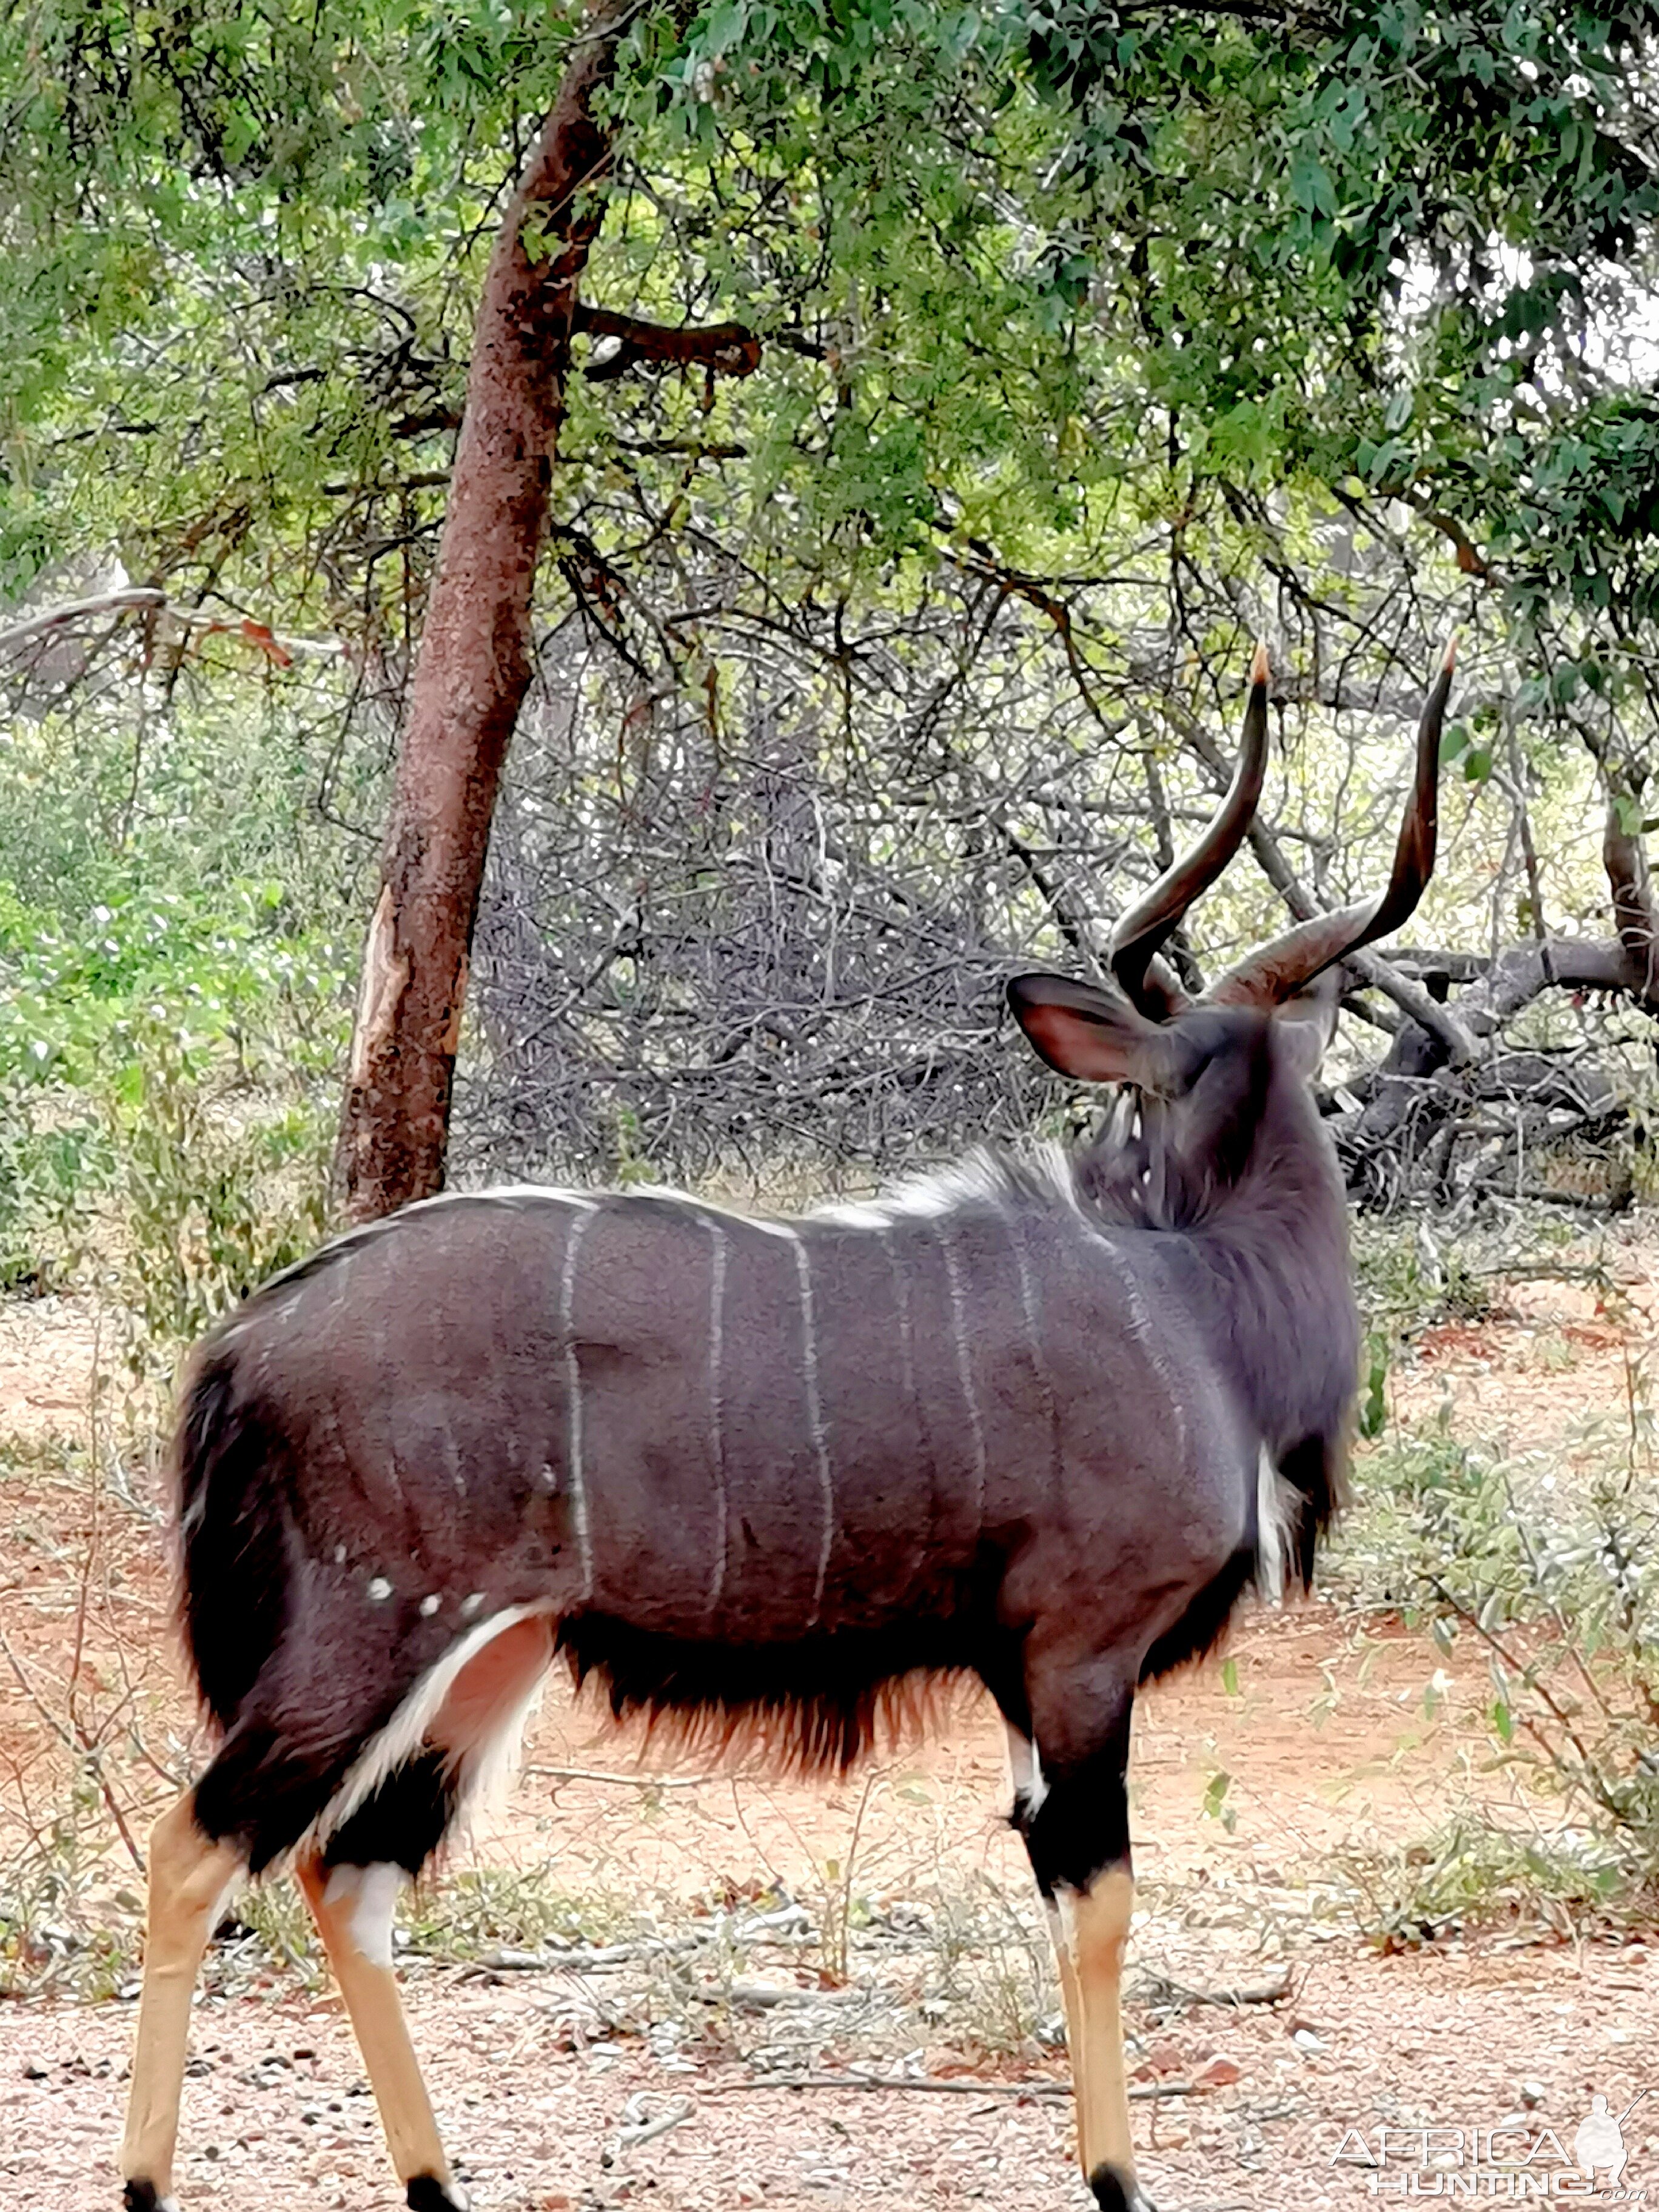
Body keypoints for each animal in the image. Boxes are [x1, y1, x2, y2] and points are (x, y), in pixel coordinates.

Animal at [119, 641, 1451, 2212]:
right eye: (1136, 1109)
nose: (1108, 1173)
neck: (1202, 1301)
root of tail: (243, 1345)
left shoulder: (1025, 1676)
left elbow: (1057, 1888)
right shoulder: (1079, 1650)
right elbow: (1103, 1903)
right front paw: (1119, 2181)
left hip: (491, 1653)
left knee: (350, 1873)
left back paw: (441, 2185)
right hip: (366, 1631)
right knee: (197, 1848)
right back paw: (149, 2185)